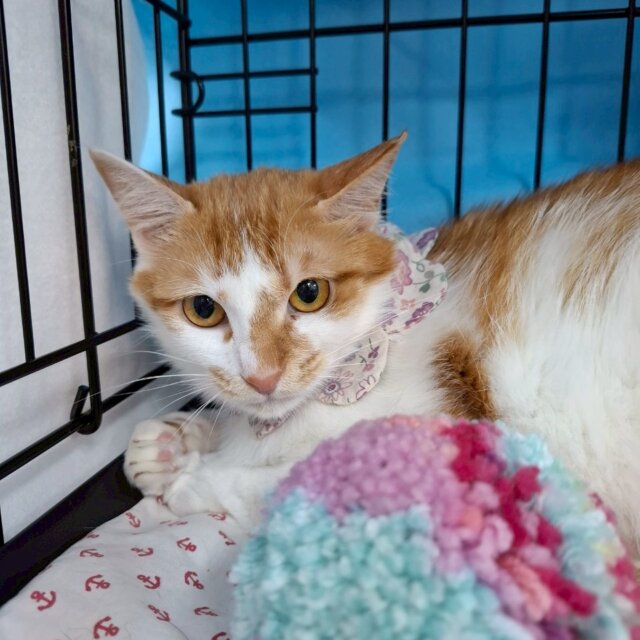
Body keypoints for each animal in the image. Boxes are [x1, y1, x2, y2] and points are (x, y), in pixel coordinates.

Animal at [91, 134, 640, 558]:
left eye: (309, 293)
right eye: (203, 310)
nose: (262, 376)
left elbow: (292, 478)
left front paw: (190, 476)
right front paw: (172, 442)